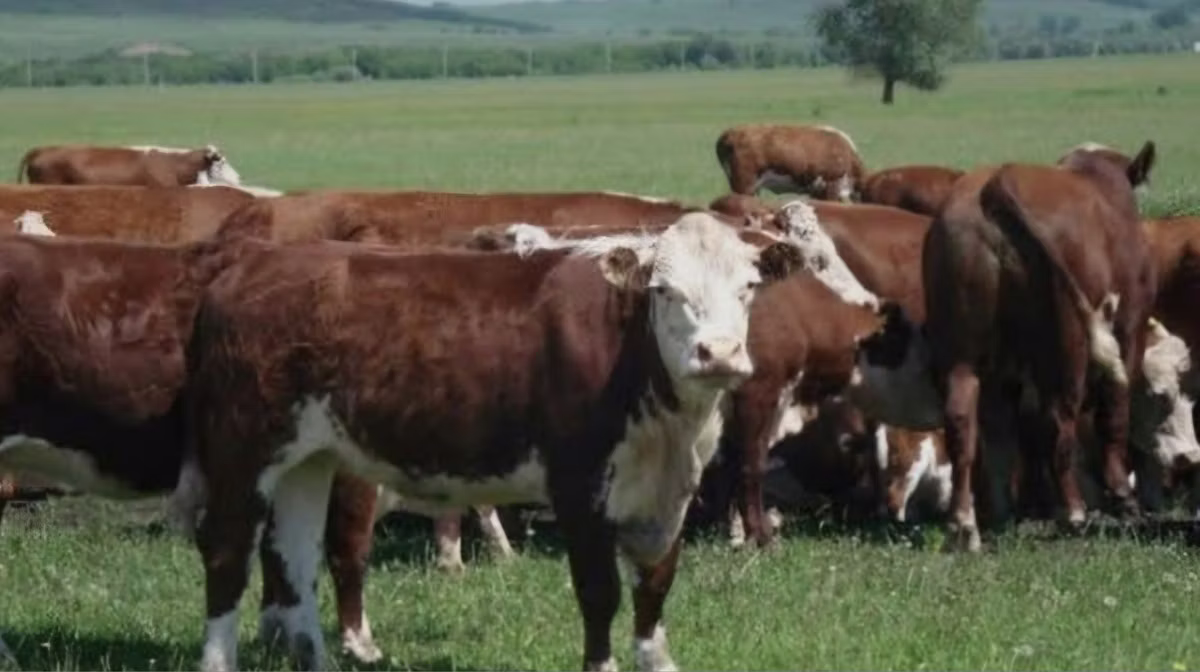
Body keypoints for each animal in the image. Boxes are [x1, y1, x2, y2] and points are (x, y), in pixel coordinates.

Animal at [175, 213, 806, 672]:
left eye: (749, 288)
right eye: (666, 290)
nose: (718, 352)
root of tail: (255, 260)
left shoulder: (666, 495)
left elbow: (654, 589)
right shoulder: (578, 485)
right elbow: (599, 593)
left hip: (310, 458)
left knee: (296, 556)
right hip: (243, 448)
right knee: (228, 552)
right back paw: (218, 661)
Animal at [856, 141, 1160, 551]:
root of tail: (995, 185)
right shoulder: (1129, 330)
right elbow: (1114, 409)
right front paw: (1123, 498)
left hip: (964, 350)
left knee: (964, 421)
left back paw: (969, 522)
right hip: (1068, 347)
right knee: (1059, 421)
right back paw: (1073, 512)